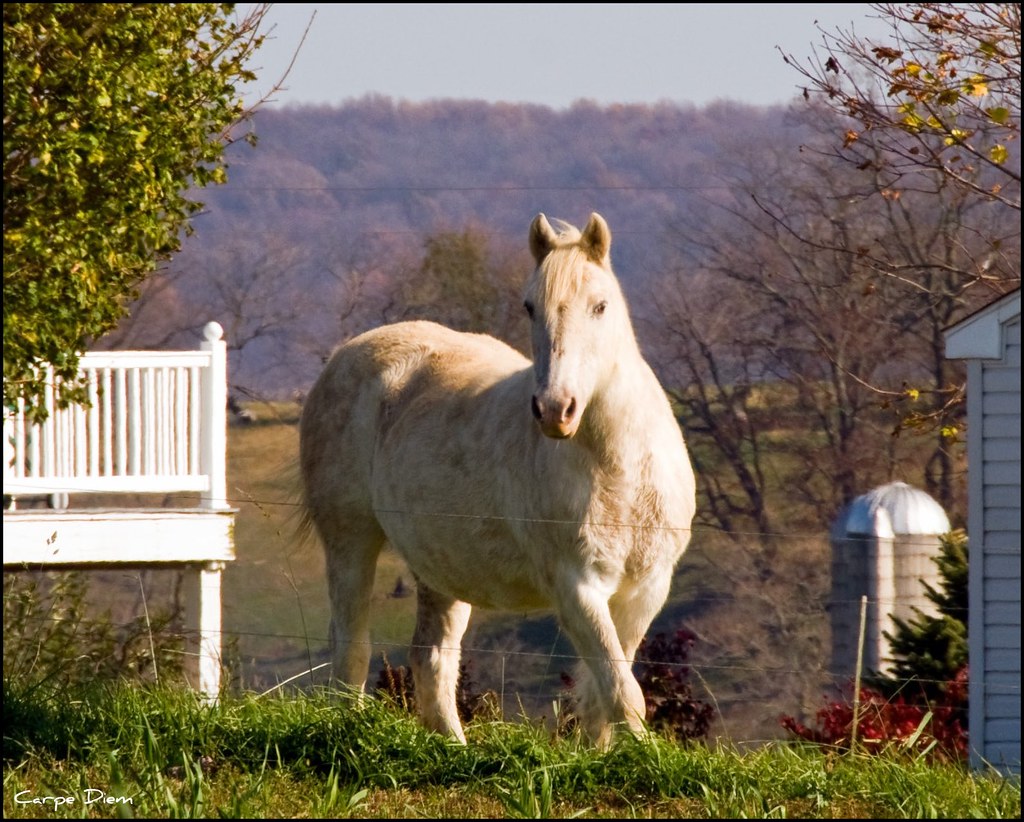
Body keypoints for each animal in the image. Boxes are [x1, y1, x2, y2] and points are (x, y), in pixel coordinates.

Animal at [298, 212, 696, 747]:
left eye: (600, 306)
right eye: (530, 307)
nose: (555, 409)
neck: (619, 469)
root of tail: (344, 355)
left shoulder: (646, 590)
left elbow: (605, 693)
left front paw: (603, 756)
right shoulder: (577, 587)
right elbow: (621, 692)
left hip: (439, 568)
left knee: (432, 659)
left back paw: (454, 749)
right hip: (350, 542)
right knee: (351, 651)